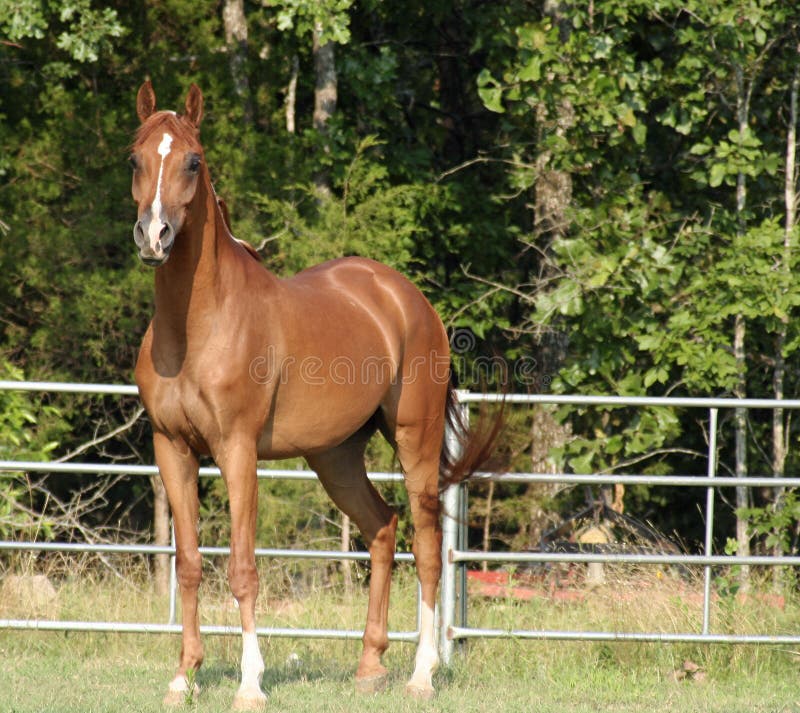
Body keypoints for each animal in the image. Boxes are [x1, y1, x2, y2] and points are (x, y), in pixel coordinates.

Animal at [130, 82, 500, 708]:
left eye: (193, 161)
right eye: (135, 159)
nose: (154, 236)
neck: (198, 324)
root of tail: (407, 299)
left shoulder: (237, 451)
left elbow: (243, 568)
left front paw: (250, 683)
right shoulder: (172, 448)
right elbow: (189, 564)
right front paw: (184, 677)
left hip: (416, 441)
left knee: (426, 547)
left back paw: (421, 674)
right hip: (335, 455)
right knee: (382, 527)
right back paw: (370, 665)